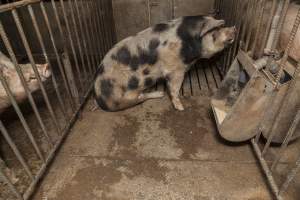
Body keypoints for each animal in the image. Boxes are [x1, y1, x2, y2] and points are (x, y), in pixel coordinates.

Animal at [95, 15, 236, 111]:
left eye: (222, 27)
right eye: (215, 32)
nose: (234, 28)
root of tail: (99, 97)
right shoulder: (175, 69)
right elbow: (174, 89)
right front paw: (181, 108)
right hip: (124, 98)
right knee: (140, 98)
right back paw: (161, 94)